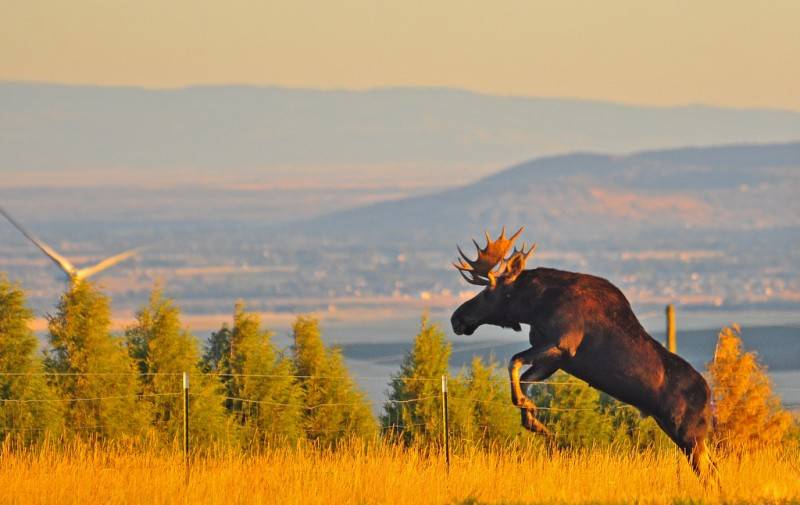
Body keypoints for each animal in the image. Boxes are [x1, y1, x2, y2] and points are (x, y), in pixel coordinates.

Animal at [454, 226, 716, 478]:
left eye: (487, 291)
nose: (456, 318)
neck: (534, 307)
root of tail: (709, 397)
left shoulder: (562, 345)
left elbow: (514, 362)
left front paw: (527, 409)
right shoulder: (555, 359)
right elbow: (525, 377)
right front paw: (533, 419)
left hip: (688, 434)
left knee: (707, 472)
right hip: (676, 430)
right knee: (713, 467)